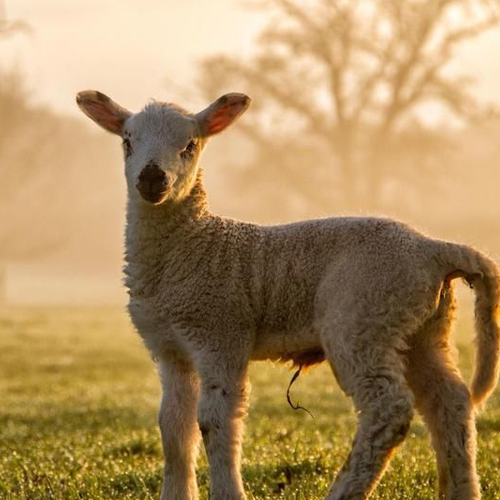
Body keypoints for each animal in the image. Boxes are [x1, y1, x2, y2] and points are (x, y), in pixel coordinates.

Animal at [76, 90, 498, 500]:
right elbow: (174, 426)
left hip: (363, 318)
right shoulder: (169, 348)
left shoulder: (221, 332)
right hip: (422, 326)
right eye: (127, 141)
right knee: (450, 402)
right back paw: (462, 490)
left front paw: (229, 493)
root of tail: (434, 248)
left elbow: (215, 420)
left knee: (388, 411)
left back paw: (343, 491)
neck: (191, 244)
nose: (152, 179)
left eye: (190, 145)